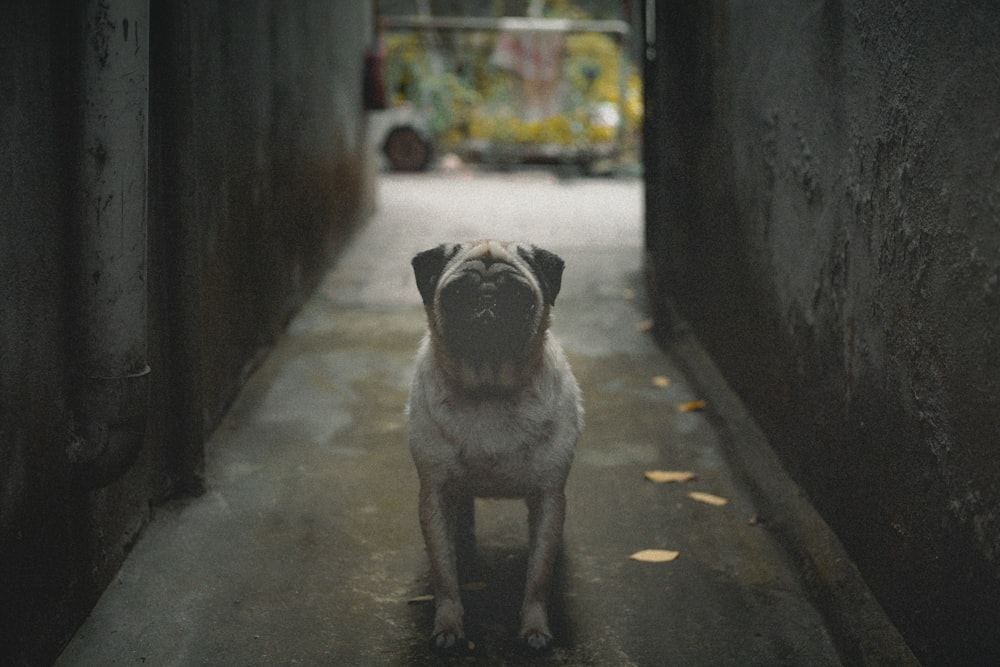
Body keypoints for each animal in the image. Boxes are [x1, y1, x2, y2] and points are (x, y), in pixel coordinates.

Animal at [408, 240, 584, 652]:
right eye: (458, 292)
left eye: (518, 295)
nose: (487, 298)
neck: (488, 391)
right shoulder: (436, 494)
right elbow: (444, 572)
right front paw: (449, 625)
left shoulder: (548, 498)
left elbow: (538, 576)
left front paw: (535, 627)